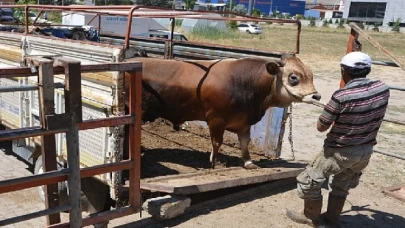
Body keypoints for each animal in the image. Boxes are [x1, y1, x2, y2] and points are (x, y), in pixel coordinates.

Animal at [124, 56, 320, 168]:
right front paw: (215, 162)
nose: (316, 96)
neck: (245, 83)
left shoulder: (244, 122)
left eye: (311, 75)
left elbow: (244, 142)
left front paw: (249, 162)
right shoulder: (216, 119)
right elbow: (217, 142)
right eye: (293, 77)